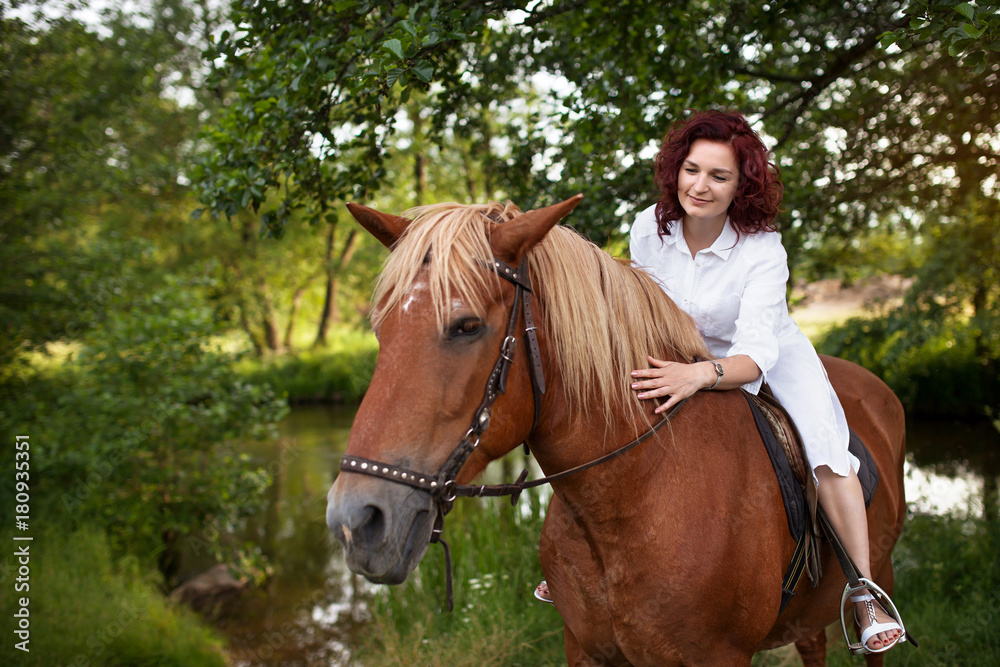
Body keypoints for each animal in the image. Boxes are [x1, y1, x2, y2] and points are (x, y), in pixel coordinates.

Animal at [326, 198, 908, 667]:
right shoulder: (585, 648)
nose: (357, 521)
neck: (631, 496)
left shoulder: (717, 656)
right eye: (381, 328)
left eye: (467, 326)